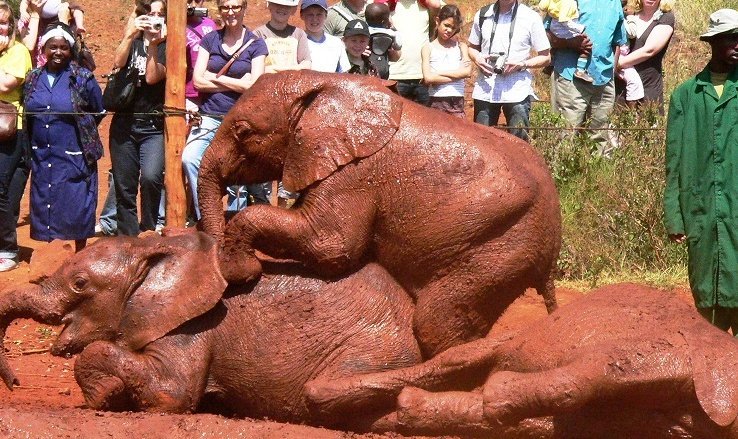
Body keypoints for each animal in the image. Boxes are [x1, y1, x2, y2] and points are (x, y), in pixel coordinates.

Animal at [0, 233, 422, 431]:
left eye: (80, 284)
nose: (17, 383)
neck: (153, 247)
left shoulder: (194, 324)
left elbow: (172, 393)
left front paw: (103, 398)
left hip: (371, 349)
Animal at [197, 70, 562, 358]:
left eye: (243, 132)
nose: (230, 278)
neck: (325, 82)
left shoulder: (354, 174)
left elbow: (333, 248)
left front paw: (242, 269)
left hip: (501, 245)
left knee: (436, 322)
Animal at [304, 283, 738, 438]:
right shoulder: (674, 348)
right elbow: (596, 368)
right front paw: (498, 394)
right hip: (512, 336)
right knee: (452, 362)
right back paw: (319, 396)